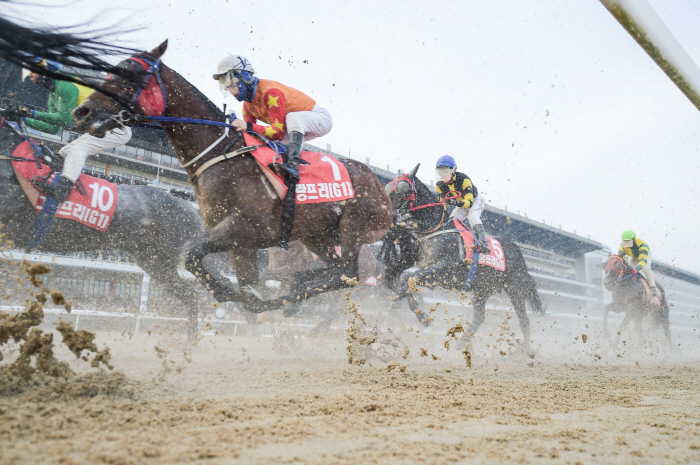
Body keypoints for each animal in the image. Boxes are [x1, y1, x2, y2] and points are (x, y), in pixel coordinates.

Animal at [72, 41, 394, 312]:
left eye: (130, 74)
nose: (82, 112)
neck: (221, 155)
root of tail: (384, 189)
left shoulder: (252, 229)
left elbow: (191, 252)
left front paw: (238, 295)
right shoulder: (237, 241)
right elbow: (231, 275)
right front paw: (244, 294)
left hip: (353, 227)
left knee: (348, 274)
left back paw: (286, 297)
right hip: (317, 235)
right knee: (335, 270)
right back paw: (294, 285)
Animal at [382, 164, 540, 348]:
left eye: (401, 190)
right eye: (387, 187)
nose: (385, 212)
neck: (435, 230)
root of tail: (521, 256)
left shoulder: (443, 270)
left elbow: (409, 279)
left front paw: (413, 311)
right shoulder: (425, 269)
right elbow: (403, 279)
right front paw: (416, 313)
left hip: (515, 289)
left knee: (524, 321)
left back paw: (525, 351)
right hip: (482, 290)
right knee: (479, 318)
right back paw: (461, 344)